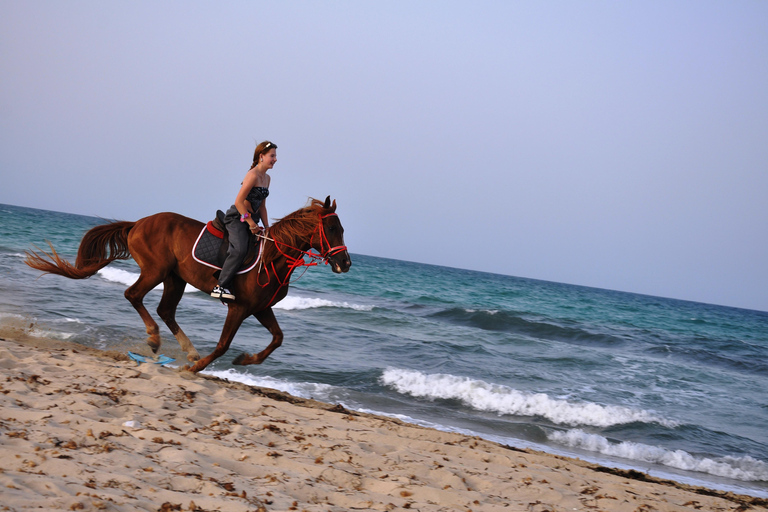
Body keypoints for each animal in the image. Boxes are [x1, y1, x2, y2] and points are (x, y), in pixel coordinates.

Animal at [24, 196, 352, 372]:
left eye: (341, 228)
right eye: (331, 228)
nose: (346, 263)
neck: (272, 257)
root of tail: (138, 223)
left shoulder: (260, 308)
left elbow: (278, 339)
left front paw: (246, 359)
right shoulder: (239, 307)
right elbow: (222, 345)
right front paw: (197, 368)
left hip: (175, 279)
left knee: (165, 310)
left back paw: (187, 349)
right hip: (156, 271)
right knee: (134, 295)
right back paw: (156, 340)